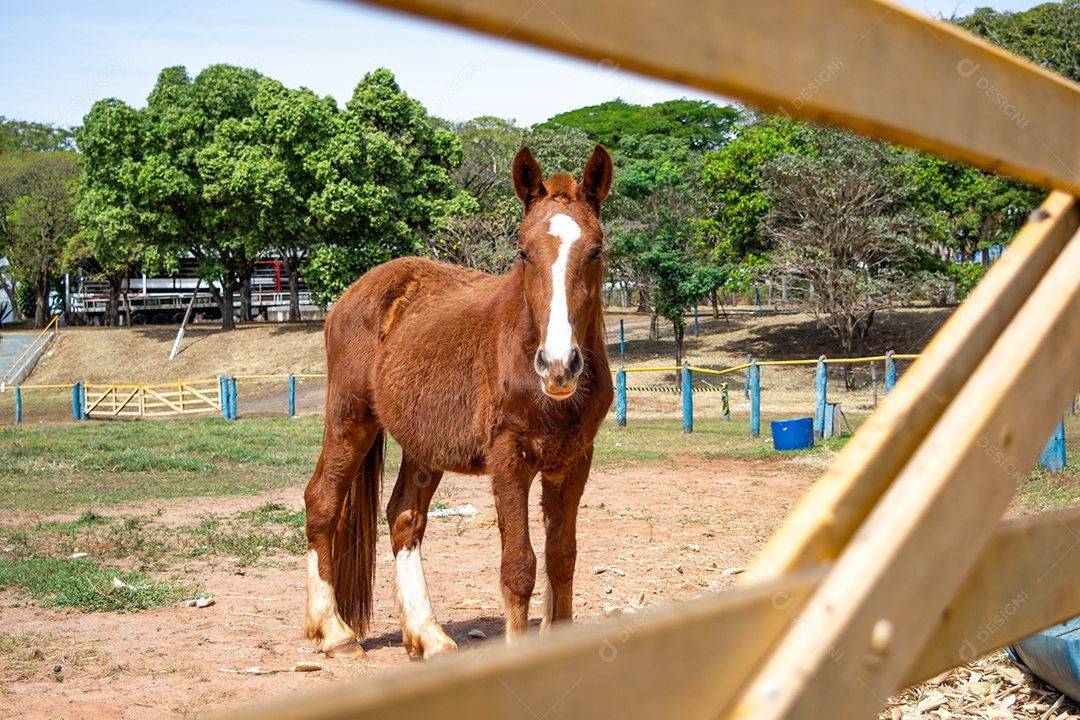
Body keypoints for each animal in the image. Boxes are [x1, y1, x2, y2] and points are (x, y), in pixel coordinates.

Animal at [304, 143, 617, 656]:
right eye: (523, 252)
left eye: (595, 251)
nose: (558, 364)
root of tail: (349, 296)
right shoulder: (508, 458)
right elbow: (519, 568)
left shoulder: (573, 461)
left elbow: (562, 559)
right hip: (350, 420)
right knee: (323, 503)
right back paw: (333, 630)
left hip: (423, 445)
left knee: (404, 517)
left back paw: (427, 635)